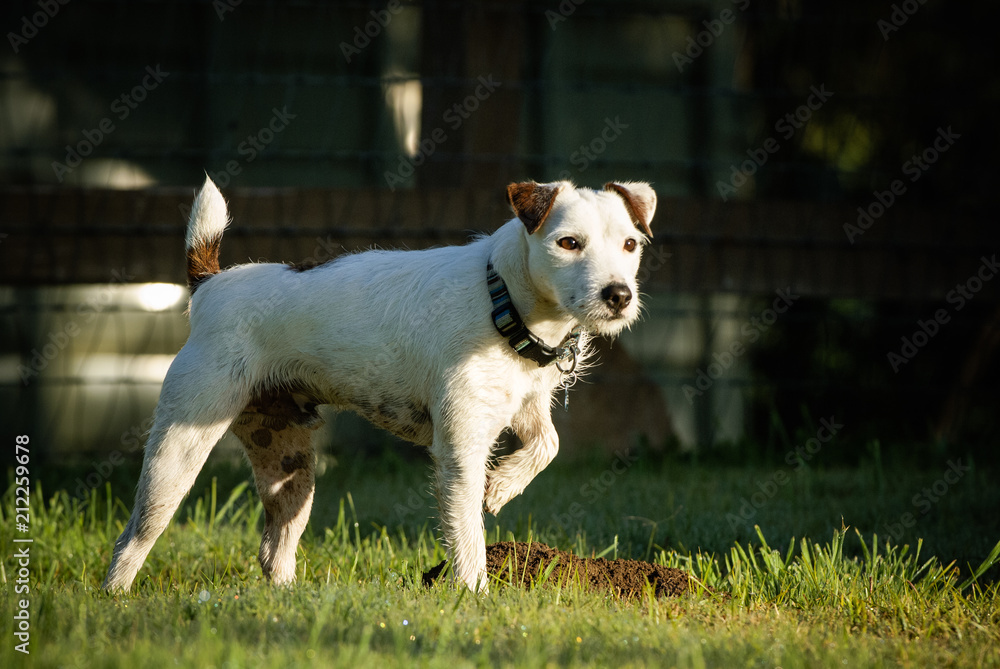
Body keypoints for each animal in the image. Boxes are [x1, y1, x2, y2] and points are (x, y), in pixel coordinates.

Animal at [103, 176, 656, 588]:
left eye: (630, 244)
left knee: (274, 548)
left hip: (290, 469)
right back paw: (117, 596)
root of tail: (210, 284)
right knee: (135, 535)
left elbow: (549, 444)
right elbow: (468, 535)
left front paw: (503, 485)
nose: (619, 296)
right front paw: (472, 593)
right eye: (569, 243)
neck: (501, 298)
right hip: (178, 449)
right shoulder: (460, 451)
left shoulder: (526, 407)